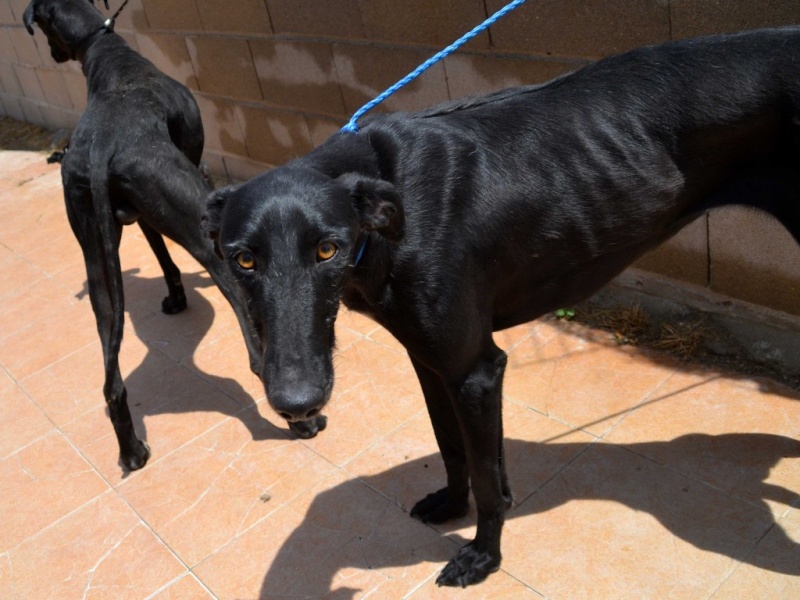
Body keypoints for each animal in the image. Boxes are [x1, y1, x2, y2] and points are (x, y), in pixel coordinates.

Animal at [23, 0, 326, 474]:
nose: (53, 56)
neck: (107, 53)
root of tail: (101, 145)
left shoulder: (145, 215)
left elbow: (161, 254)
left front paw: (176, 298)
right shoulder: (199, 176)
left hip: (97, 267)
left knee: (110, 380)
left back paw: (131, 451)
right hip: (213, 246)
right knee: (257, 353)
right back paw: (301, 421)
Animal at [203, 28, 800, 584]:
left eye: (327, 249)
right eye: (243, 259)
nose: (296, 404)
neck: (389, 206)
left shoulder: (474, 370)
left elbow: (488, 481)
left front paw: (483, 556)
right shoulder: (432, 362)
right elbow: (456, 448)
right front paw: (452, 505)